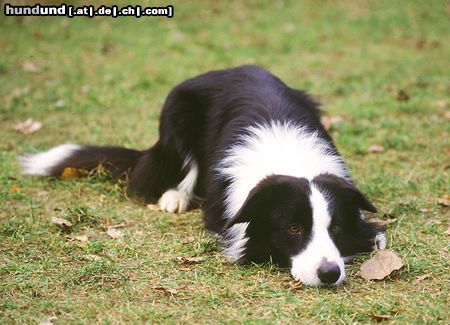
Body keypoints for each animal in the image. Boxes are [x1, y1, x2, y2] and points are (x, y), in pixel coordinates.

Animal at [21, 64, 384, 284]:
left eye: (336, 227)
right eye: (293, 228)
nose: (329, 273)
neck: (290, 160)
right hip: (176, 114)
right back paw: (174, 197)